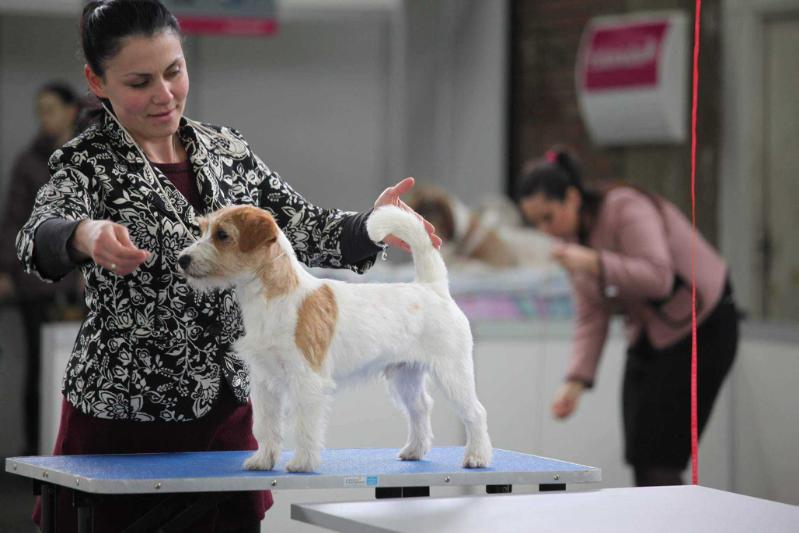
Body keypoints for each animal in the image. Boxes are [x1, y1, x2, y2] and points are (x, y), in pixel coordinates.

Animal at [178, 206, 490, 472]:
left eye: (222, 235)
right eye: (204, 229)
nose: (182, 259)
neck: (275, 297)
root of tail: (432, 288)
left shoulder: (306, 381)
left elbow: (304, 426)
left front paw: (303, 463)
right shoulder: (266, 383)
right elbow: (267, 426)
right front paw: (263, 460)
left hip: (452, 374)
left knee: (475, 412)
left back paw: (477, 456)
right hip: (405, 377)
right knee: (421, 409)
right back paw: (415, 450)